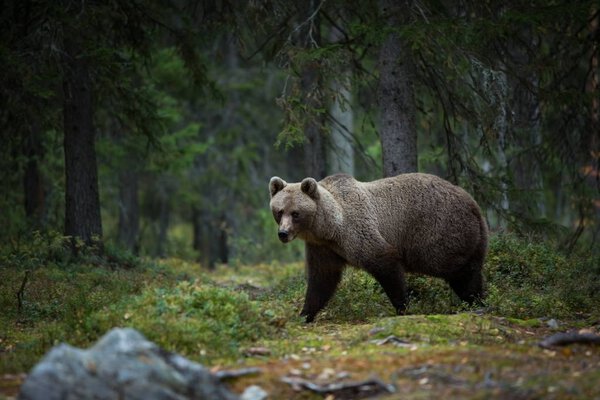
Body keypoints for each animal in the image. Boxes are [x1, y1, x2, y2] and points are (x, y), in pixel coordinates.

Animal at [270, 173, 488, 324]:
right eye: (279, 211)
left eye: (295, 213)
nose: (283, 233)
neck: (330, 228)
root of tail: (473, 203)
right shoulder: (322, 248)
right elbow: (321, 280)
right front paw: (304, 314)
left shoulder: (358, 232)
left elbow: (384, 263)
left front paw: (403, 307)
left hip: (439, 231)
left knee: (459, 270)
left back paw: (476, 299)